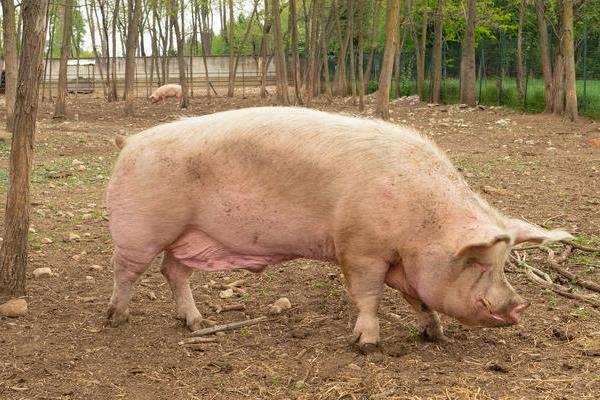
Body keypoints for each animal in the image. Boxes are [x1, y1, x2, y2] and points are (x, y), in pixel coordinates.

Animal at [108, 108, 572, 352]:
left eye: (504, 264)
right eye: (476, 263)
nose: (518, 305)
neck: (419, 224)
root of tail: (130, 142)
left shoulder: (403, 264)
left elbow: (420, 300)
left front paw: (434, 335)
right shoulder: (359, 249)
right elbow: (367, 296)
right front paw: (367, 346)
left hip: (188, 237)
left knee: (173, 271)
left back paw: (195, 323)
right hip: (140, 228)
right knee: (127, 270)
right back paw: (117, 319)